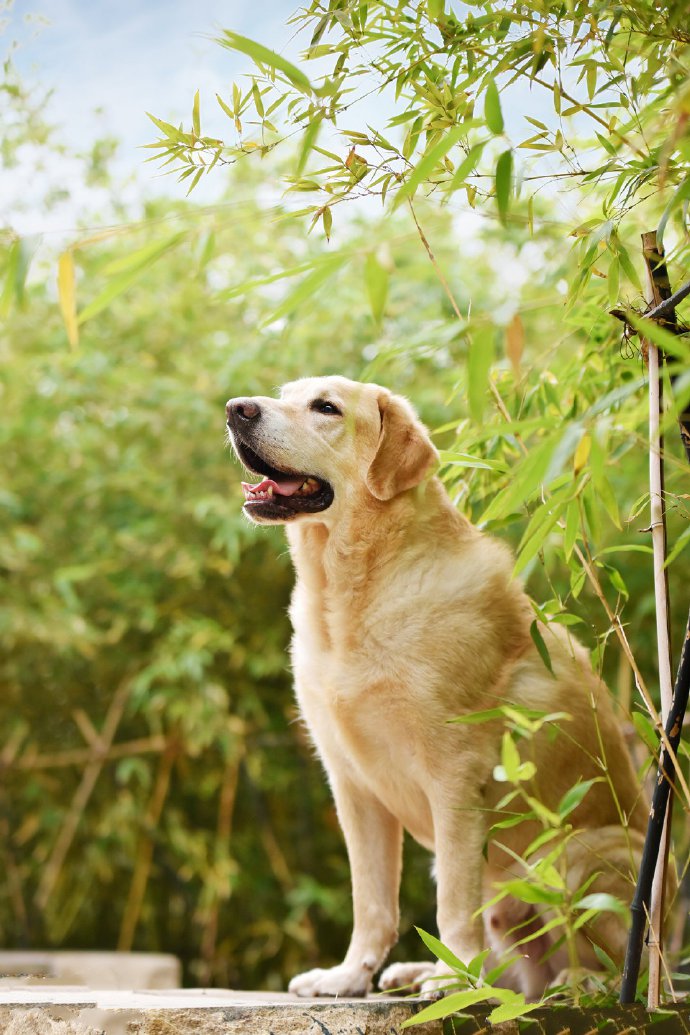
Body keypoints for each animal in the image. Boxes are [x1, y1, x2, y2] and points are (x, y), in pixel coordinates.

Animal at [225, 376, 649, 997]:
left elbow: (453, 897)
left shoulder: (455, 773)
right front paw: (349, 975)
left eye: (326, 408)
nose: (236, 410)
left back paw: (573, 981)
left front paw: (454, 981)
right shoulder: (350, 783)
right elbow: (372, 899)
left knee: (616, 960)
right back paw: (426, 970)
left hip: (575, 856)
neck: (354, 590)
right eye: (284, 393)